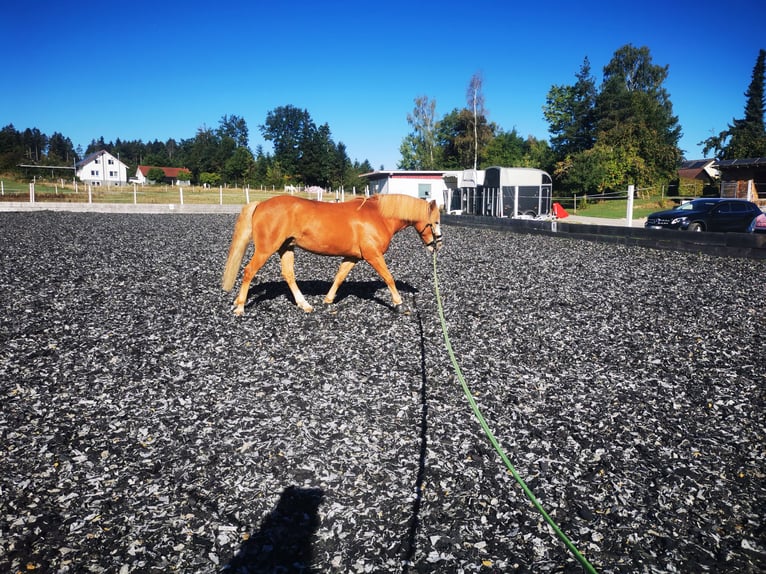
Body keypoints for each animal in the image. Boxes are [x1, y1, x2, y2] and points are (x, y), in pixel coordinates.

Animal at [220, 196, 444, 318]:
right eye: (436, 222)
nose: (438, 245)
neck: (378, 217)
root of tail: (260, 205)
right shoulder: (373, 255)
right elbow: (388, 278)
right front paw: (399, 304)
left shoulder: (353, 257)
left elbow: (339, 277)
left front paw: (328, 300)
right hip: (266, 249)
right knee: (249, 271)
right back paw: (240, 307)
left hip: (286, 248)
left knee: (288, 275)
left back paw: (304, 305)